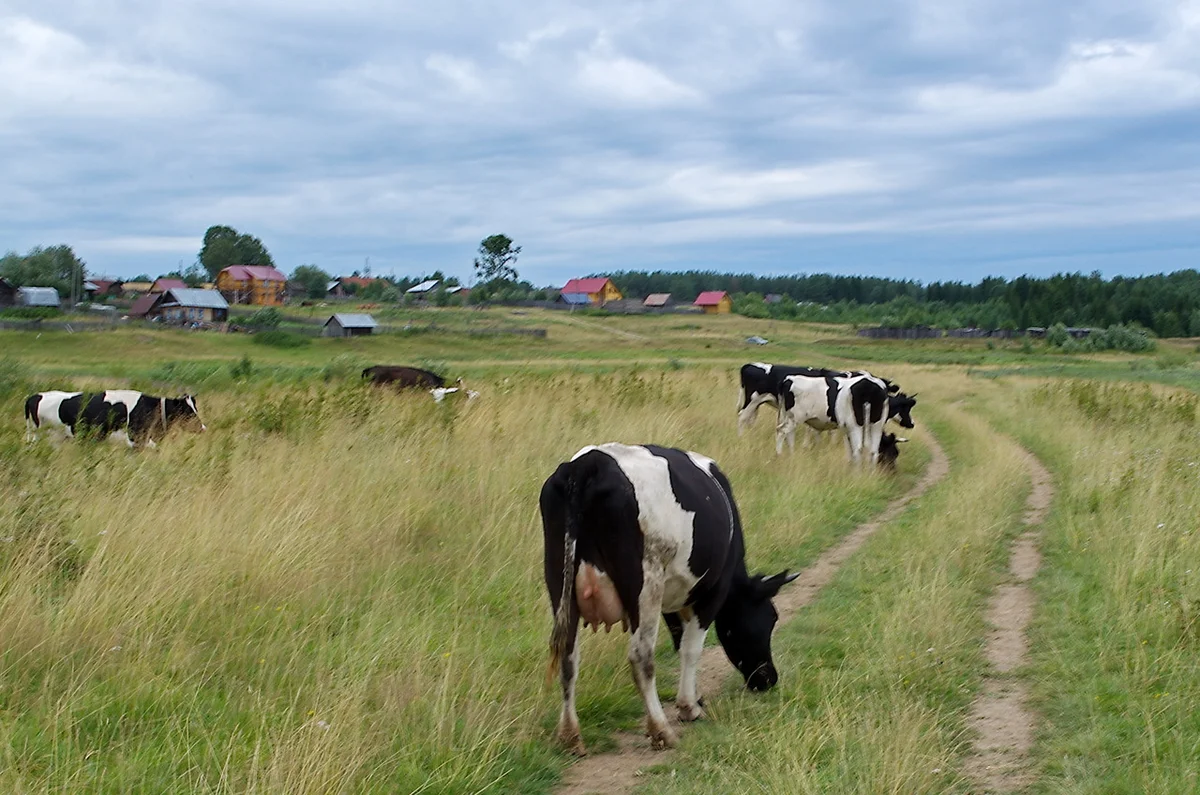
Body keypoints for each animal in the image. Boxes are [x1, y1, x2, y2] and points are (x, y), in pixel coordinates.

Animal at [24, 391, 204, 449]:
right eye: (188, 412)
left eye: (196, 408)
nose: (203, 427)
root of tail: (35, 396)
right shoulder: (135, 441)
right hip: (40, 435)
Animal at [544, 444, 796, 758]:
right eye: (770, 618)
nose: (768, 679)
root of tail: (588, 464)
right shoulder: (713, 591)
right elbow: (690, 648)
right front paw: (689, 706)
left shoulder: (674, 598)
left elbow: (679, 640)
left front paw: (694, 698)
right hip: (646, 582)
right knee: (641, 656)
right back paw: (661, 730)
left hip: (559, 583)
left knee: (567, 655)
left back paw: (570, 736)